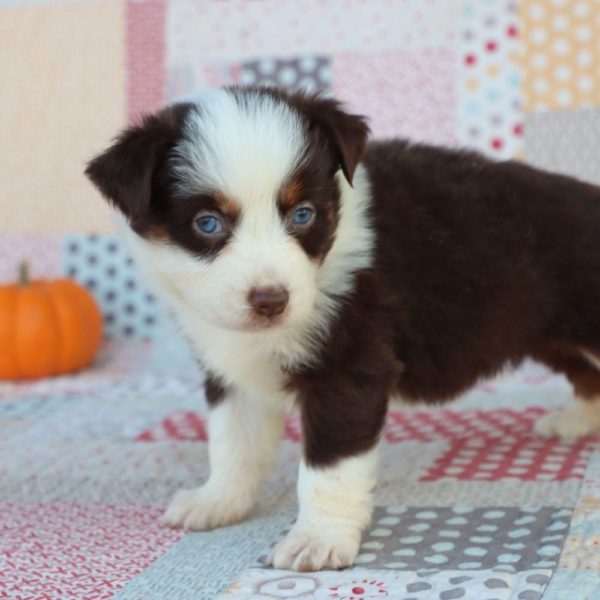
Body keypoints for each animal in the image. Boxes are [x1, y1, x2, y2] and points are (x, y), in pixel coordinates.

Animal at [86, 85, 600, 572]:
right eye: (207, 223)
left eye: (302, 214)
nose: (271, 300)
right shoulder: (234, 371)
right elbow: (233, 442)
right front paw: (218, 501)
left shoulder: (350, 367)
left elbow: (328, 468)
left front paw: (317, 542)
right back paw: (577, 422)